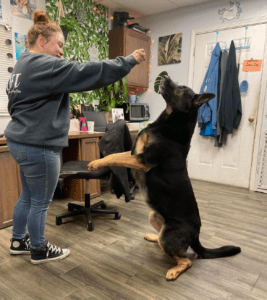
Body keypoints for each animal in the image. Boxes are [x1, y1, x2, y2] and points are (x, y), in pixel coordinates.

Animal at [88, 75, 243, 282]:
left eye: (183, 89)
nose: (165, 75)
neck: (171, 123)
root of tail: (196, 236)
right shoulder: (134, 153)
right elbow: (115, 155)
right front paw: (96, 161)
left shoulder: (141, 159)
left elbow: (113, 157)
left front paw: (95, 164)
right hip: (153, 216)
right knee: (168, 245)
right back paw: (154, 238)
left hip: (169, 236)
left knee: (186, 260)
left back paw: (173, 271)